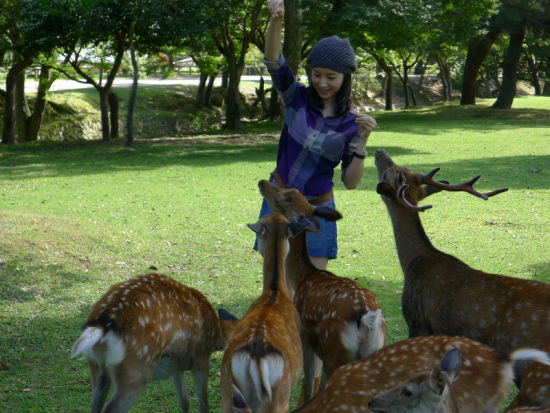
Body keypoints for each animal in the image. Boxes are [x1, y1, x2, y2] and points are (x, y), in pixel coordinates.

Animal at [73, 272, 237, 412]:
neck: (215, 333)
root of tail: (103, 324)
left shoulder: (176, 364)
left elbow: (185, 400)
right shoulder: (201, 357)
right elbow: (204, 404)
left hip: (96, 368)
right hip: (136, 371)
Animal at [258, 179, 388, 400]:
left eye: (278, 199)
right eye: (293, 191)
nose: (262, 182)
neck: (304, 275)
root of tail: (366, 320)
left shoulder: (305, 338)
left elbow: (309, 382)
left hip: (336, 351)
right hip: (374, 351)